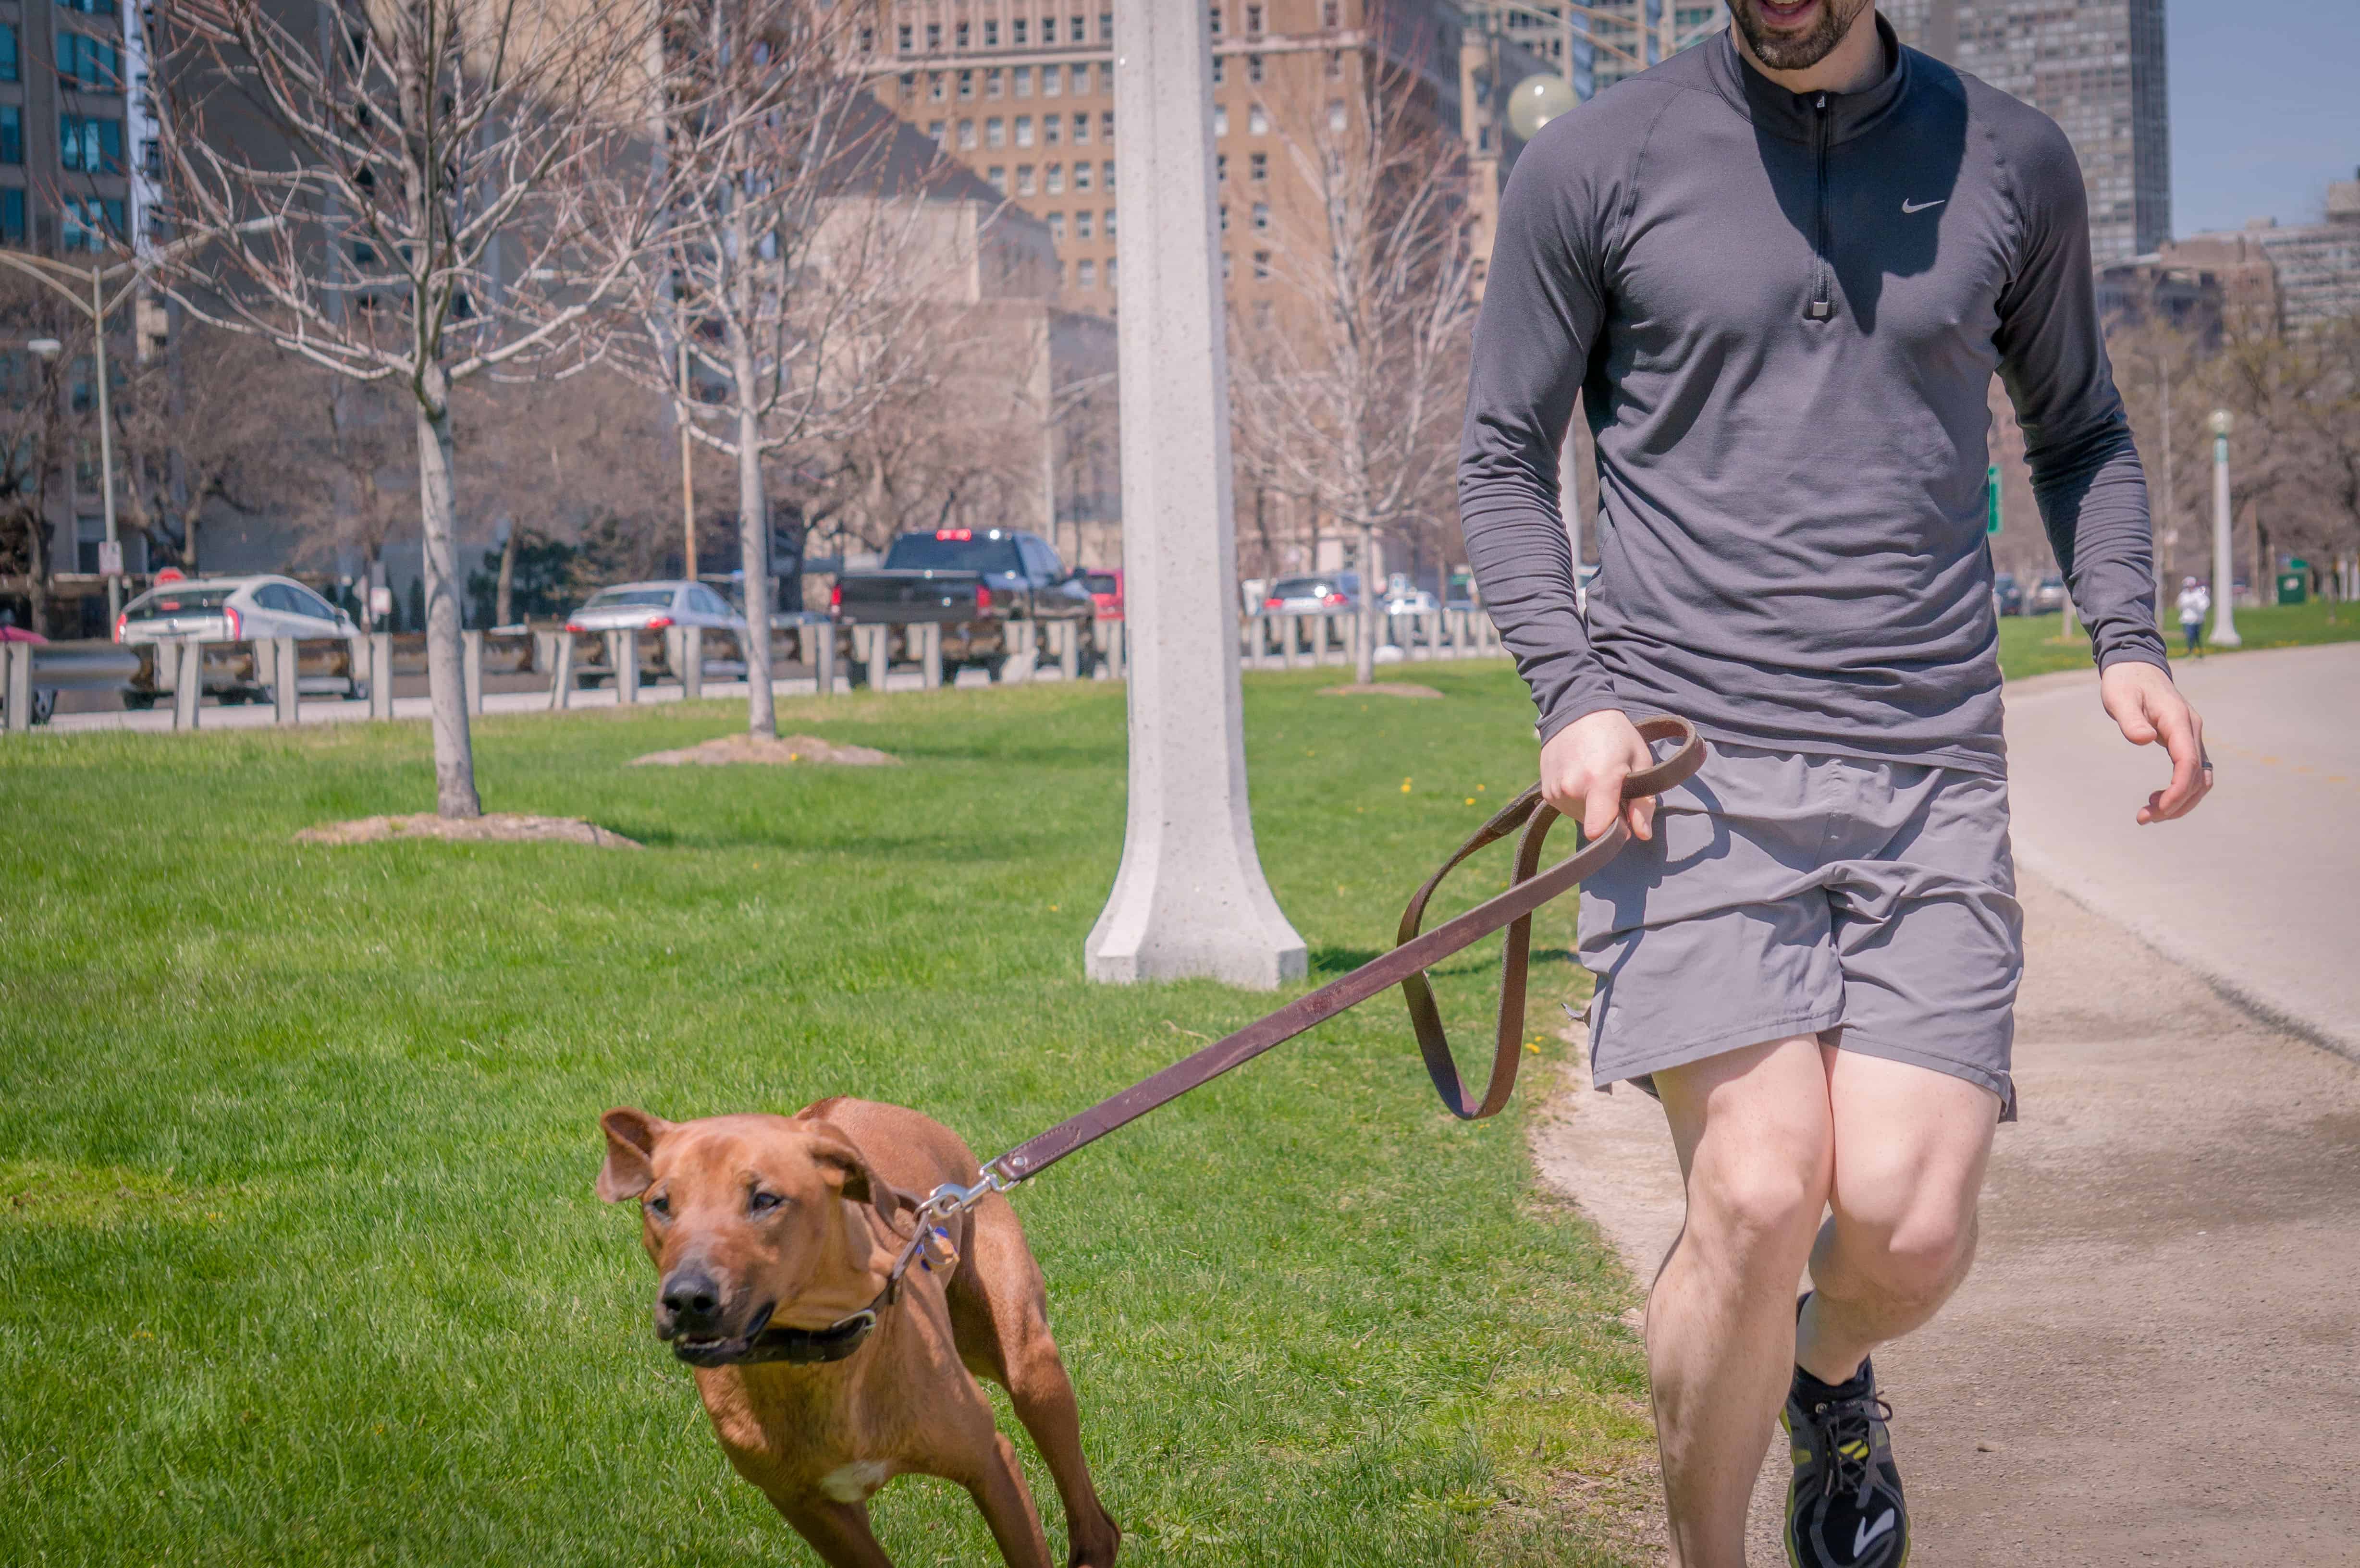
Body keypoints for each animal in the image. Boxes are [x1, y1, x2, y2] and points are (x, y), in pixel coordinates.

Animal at [594, 1095, 1119, 1568]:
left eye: (765, 1200)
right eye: (660, 1204)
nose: (686, 1299)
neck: (816, 1354)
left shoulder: (991, 1462)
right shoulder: (810, 1507)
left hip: (1029, 1363)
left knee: (1096, 1523)